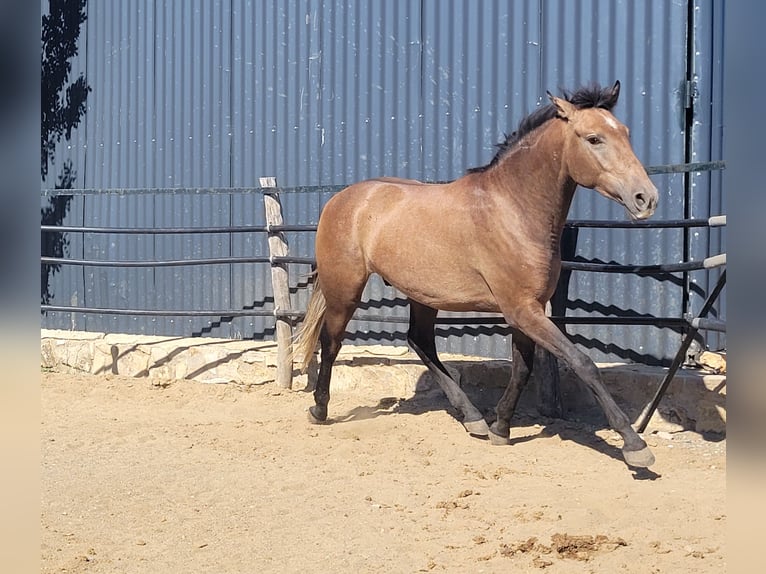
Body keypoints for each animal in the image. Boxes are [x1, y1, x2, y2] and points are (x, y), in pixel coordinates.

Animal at [294, 80, 660, 468]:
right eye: (594, 139)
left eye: (626, 133)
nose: (646, 198)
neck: (514, 209)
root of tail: (343, 199)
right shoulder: (521, 309)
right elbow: (582, 362)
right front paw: (635, 446)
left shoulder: (526, 311)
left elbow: (522, 369)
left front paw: (500, 428)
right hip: (345, 288)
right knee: (331, 341)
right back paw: (319, 410)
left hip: (423, 294)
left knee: (419, 341)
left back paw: (472, 418)